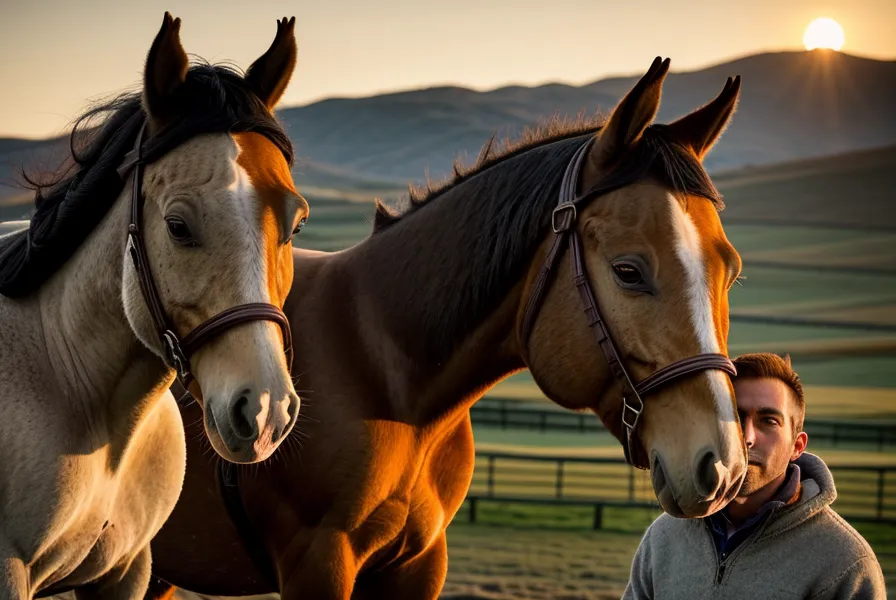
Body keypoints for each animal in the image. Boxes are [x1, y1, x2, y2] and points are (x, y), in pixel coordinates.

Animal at [143, 56, 748, 599]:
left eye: (731, 271)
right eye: (628, 271)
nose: (721, 464)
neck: (385, 372)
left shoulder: (419, 564)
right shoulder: (318, 565)